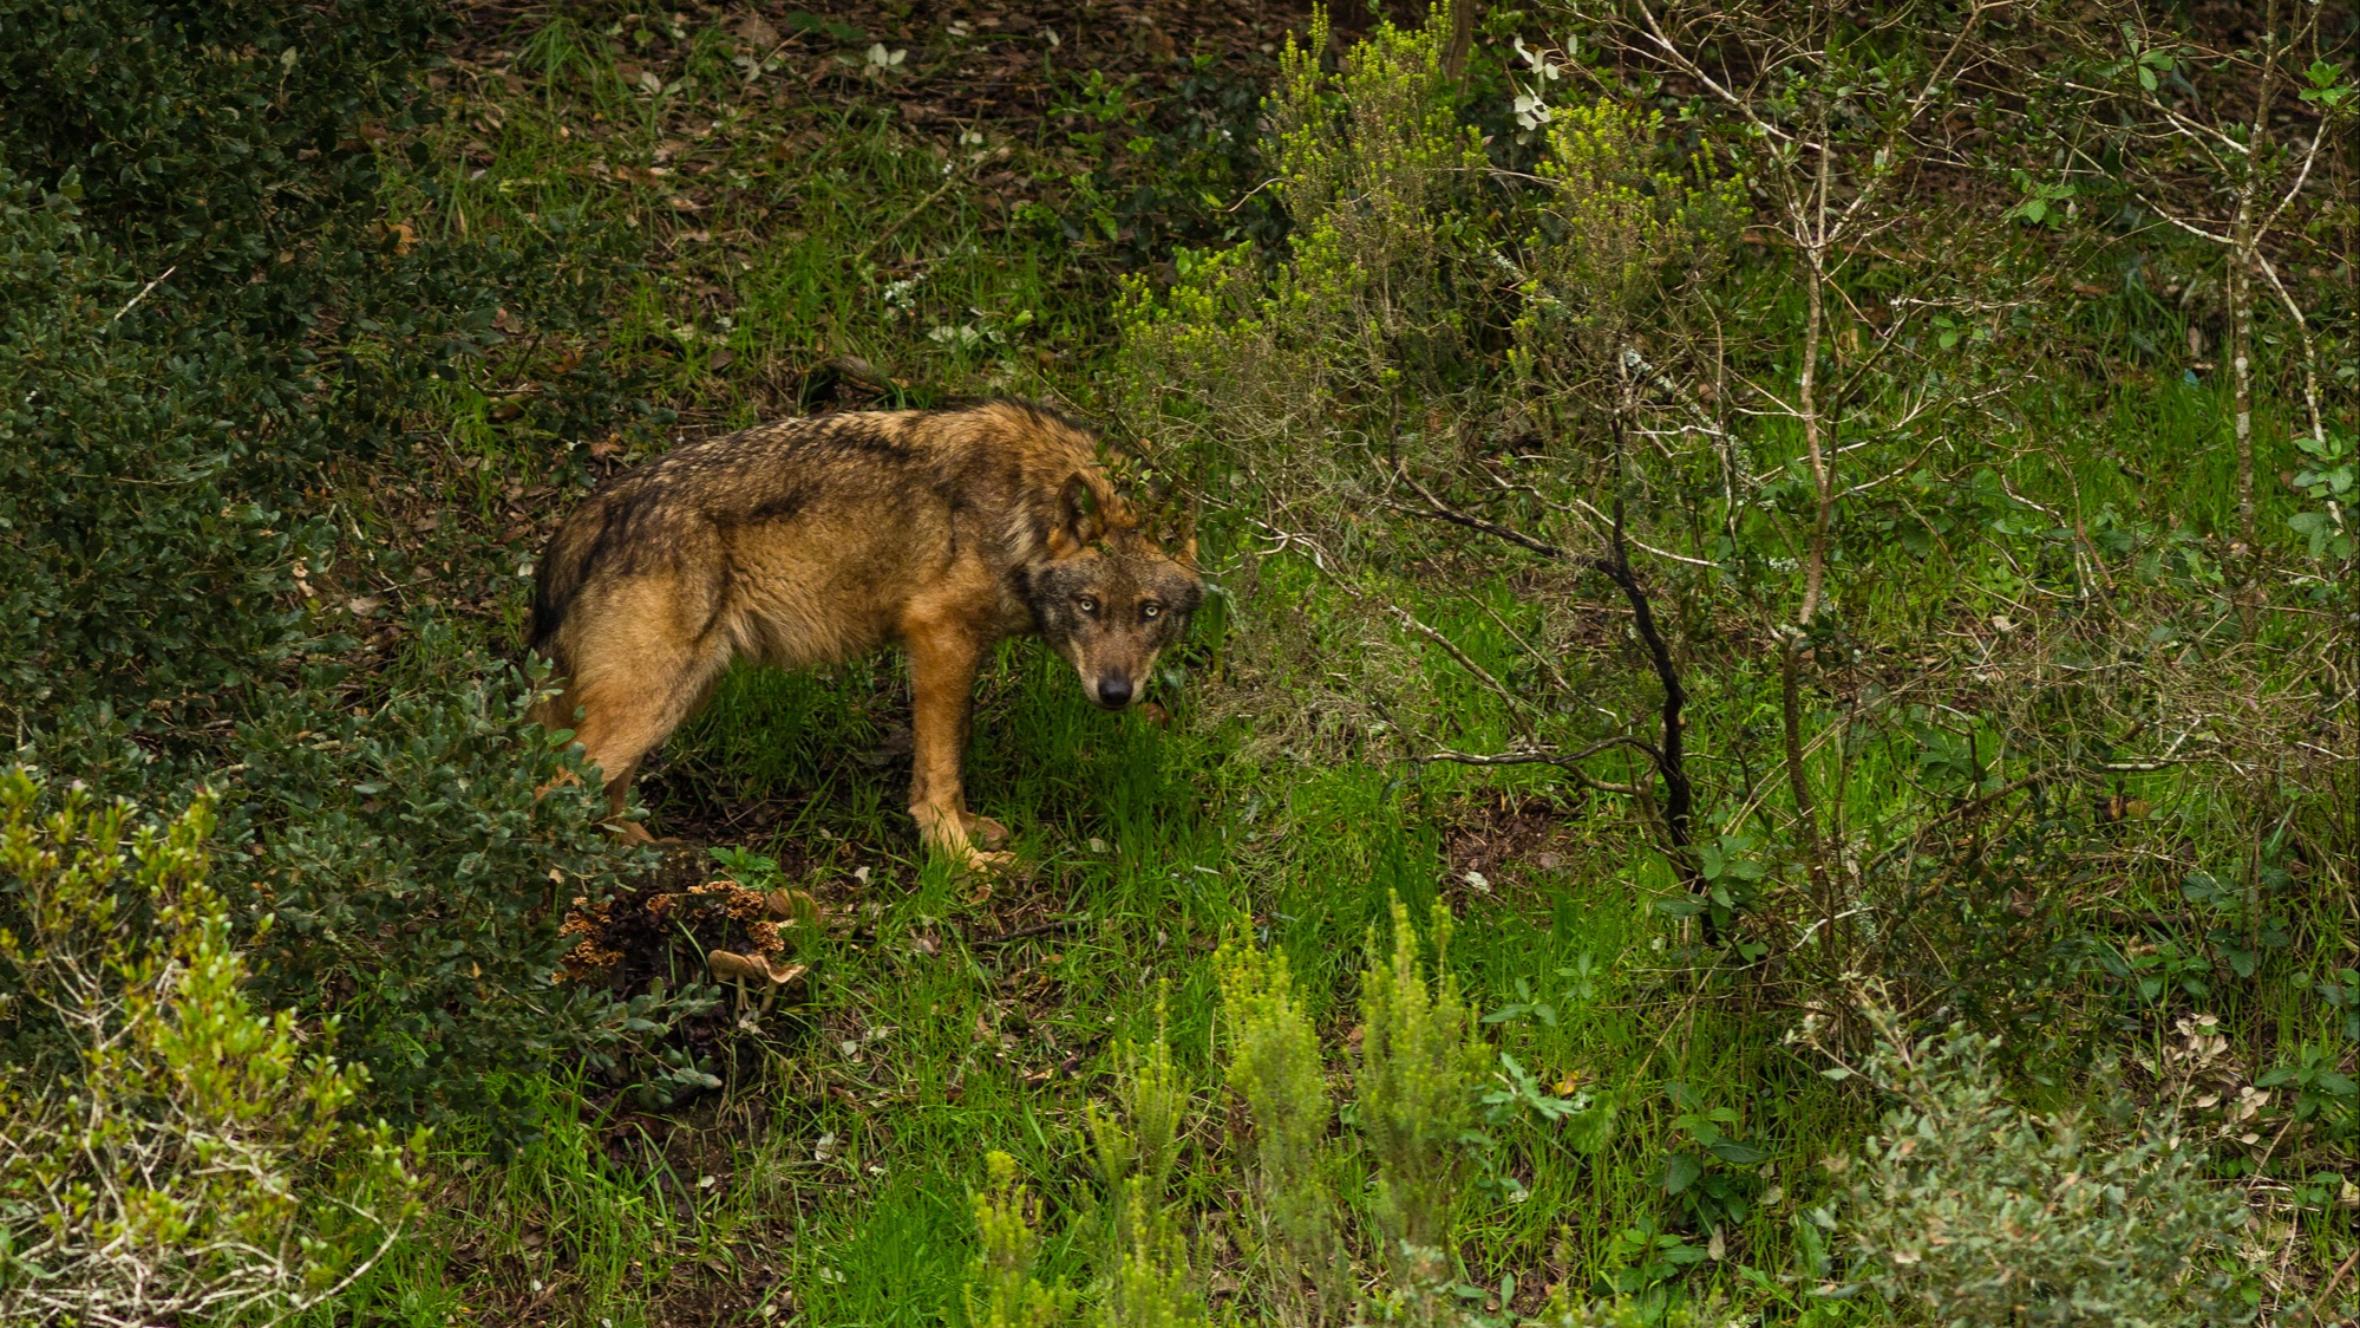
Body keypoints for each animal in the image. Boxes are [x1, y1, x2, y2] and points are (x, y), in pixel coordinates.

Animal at [526, 400, 1202, 871]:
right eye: (1088, 605)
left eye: (1149, 611)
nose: (1115, 694)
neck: (1021, 515)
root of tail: (600, 505)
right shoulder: (938, 636)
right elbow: (940, 768)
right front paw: (959, 858)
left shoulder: (959, 651)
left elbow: (952, 752)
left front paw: (967, 830)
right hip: (649, 703)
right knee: (543, 790)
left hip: (681, 694)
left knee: (606, 794)